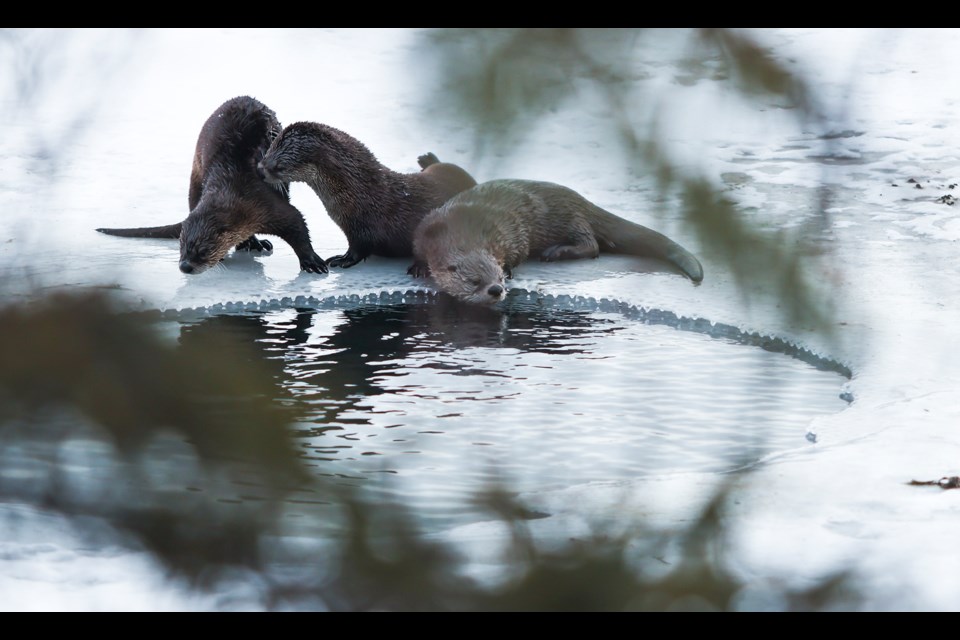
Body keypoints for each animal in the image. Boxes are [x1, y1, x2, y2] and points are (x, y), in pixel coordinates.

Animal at [96, 96, 326, 274]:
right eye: (181, 247)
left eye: (203, 250)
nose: (184, 267)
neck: (235, 188)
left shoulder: (267, 203)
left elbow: (297, 224)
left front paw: (312, 262)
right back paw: (252, 243)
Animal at [256, 122, 478, 268]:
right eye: (266, 154)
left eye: (278, 167)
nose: (259, 171)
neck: (359, 194)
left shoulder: (364, 230)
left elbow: (359, 249)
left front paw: (342, 259)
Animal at [406, 178, 704, 302]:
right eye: (474, 280)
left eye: (499, 278)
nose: (497, 290)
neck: (461, 230)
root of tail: (582, 201)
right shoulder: (426, 228)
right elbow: (418, 249)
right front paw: (419, 267)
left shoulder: (511, 232)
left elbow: (519, 250)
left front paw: (511, 268)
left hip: (570, 219)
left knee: (592, 245)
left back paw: (556, 252)